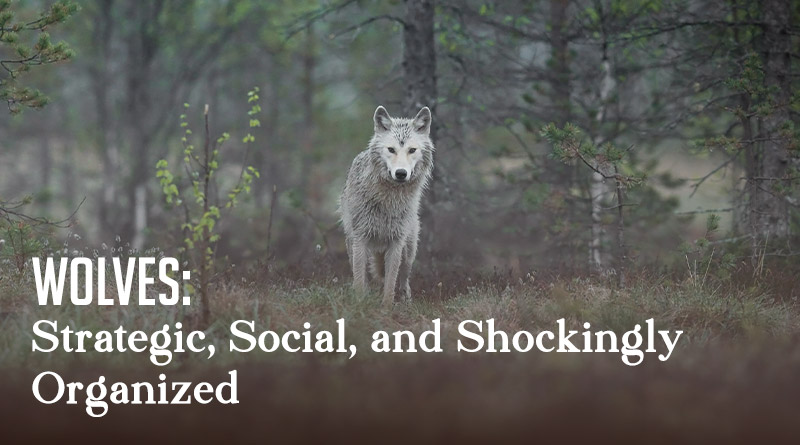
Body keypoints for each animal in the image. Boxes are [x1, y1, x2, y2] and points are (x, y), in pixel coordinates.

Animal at [339, 105, 434, 306]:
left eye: (412, 150)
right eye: (391, 149)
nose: (401, 173)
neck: (388, 201)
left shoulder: (396, 242)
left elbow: (390, 282)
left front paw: (386, 308)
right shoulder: (360, 239)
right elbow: (360, 280)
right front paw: (359, 304)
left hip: (408, 251)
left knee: (403, 280)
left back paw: (406, 302)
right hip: (352, 244)